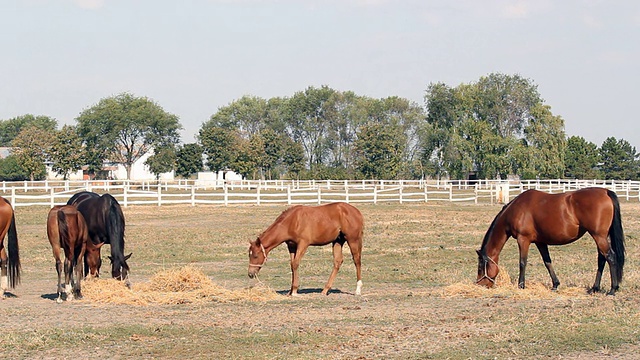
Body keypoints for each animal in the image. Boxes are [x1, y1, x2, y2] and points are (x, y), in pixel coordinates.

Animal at [476, 187, 624, 294]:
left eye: (480, 267)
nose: (480, 284)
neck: (516, 209)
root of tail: (605, 192)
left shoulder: (523, 240)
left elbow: (522, 262)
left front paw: (521, 285)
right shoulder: (540, 242)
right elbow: (547, 262)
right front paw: (555, 285)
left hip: (598, 236)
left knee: (610, 257)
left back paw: (612, 289)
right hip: (600, 237)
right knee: (602, 259)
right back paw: (595, 288)